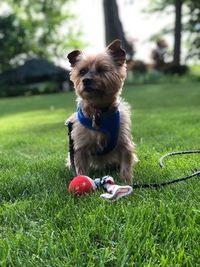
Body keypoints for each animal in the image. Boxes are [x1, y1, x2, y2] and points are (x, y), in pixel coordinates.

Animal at [65, 39, 138, 184]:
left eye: (101, 69)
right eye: (82, 71)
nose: (86, 80)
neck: (98, 112)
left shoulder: (124, 142)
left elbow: (126, 164)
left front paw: (126, 182)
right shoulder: (80, 146)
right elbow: (80, 166)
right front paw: (82, 178)